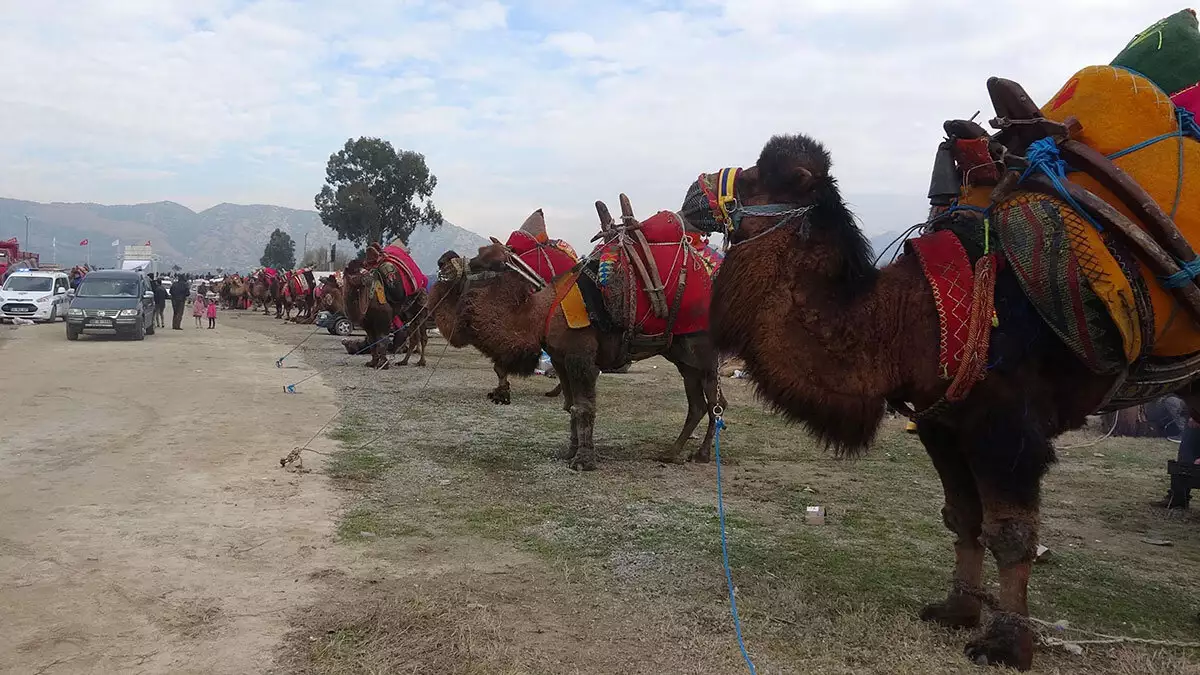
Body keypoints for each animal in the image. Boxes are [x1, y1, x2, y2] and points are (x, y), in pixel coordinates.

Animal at [700, 23, 1200, 662]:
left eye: (768, 177)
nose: (693, 195)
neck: (912, 319)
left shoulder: (1005, 425)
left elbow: (1010, 532)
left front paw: (1007, 641)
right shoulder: (941, 421)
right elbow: (962, 518)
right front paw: (957, 609)